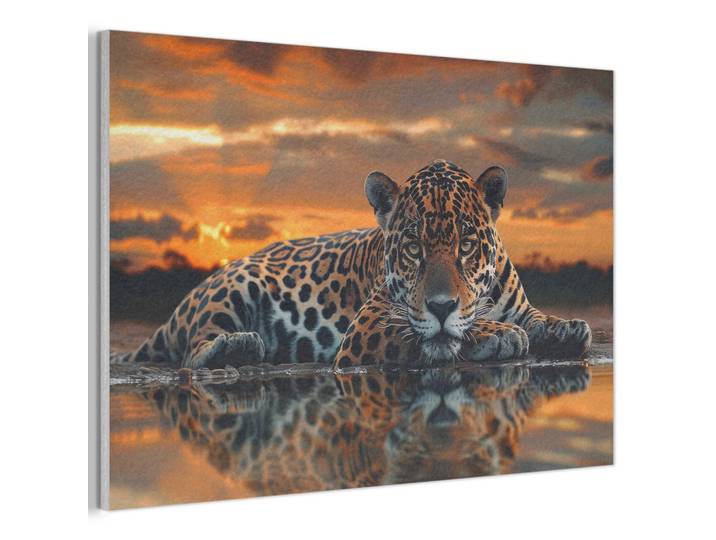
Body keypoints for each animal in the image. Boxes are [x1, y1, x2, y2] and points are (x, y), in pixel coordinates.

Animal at [111, 159, 592, 369]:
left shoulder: (518, 306)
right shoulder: (370, 325)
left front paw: (566, 328)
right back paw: (239, 346)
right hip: (233, 289)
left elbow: (536, 319)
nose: (440, 306)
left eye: (467, 244)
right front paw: (496, 334)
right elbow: (440, 333)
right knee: (192, 353)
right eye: (413, 247)